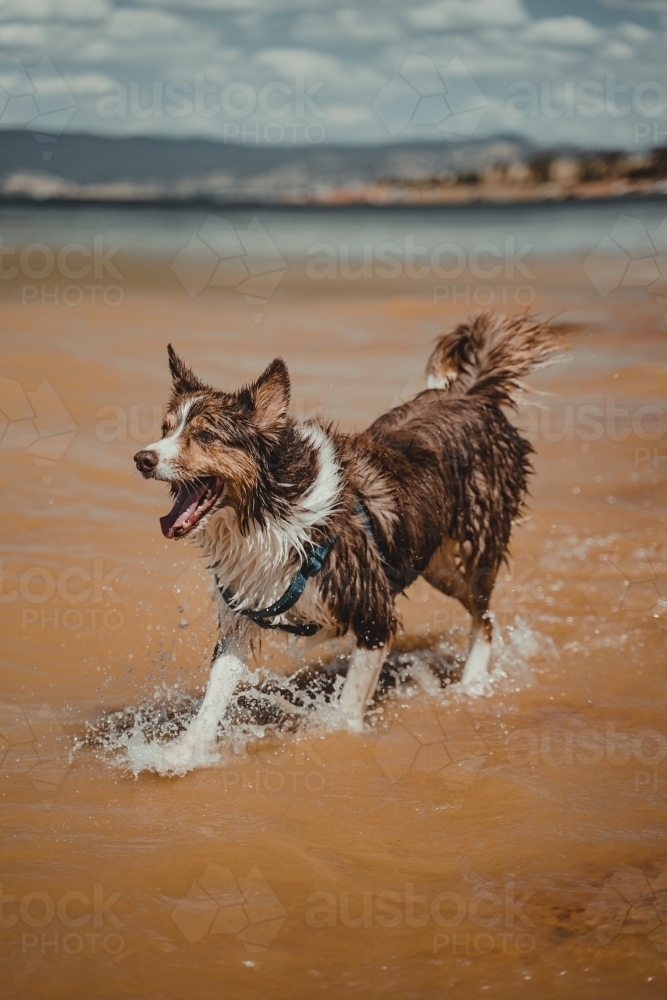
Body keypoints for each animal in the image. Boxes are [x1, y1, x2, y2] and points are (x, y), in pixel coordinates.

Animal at [134, 312, 560, 772]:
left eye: (206, 436)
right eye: (165, 429)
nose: (142, 459)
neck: (270, 511)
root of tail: (470, 394)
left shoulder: (374, 612)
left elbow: (350, 704)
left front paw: (337, 737)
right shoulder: (242, 613)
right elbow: (214, 695)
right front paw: (181, 753)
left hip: (476, 547)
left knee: (484, 615)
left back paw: (473, 683)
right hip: (436, 564)